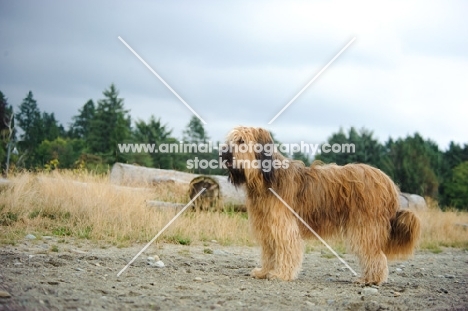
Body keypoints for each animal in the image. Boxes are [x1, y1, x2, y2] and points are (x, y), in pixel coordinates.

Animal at [221, 127, 422, 286]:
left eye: (241, 141)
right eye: (230, 140)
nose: (223, 152)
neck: (266, 177)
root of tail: (389, 184)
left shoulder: (283, 225)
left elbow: (285, 247)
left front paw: (281, 274)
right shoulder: (266, 225)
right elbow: (269, 250)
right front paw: (264, 271)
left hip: (364, 226)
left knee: (375, 254)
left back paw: (371, 279)